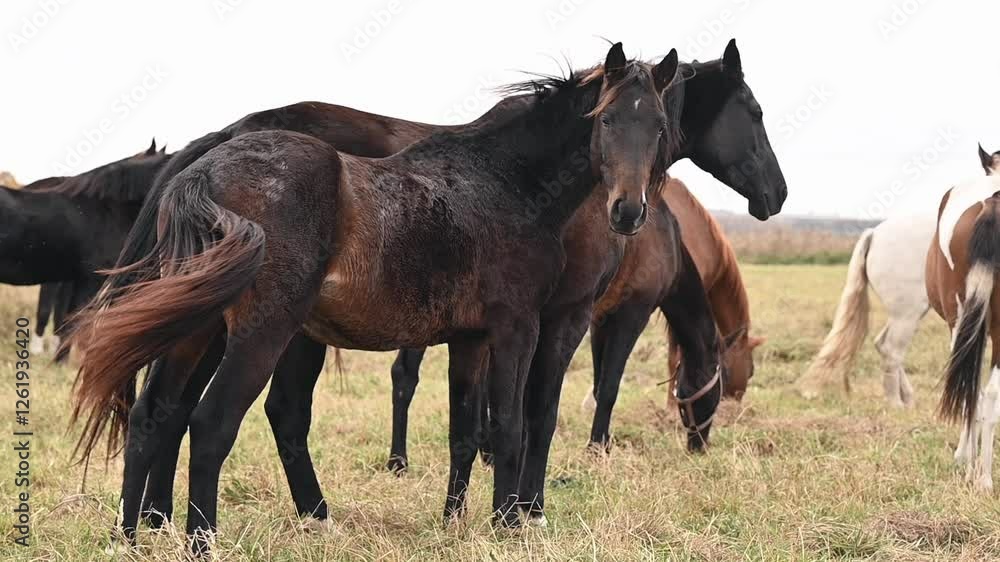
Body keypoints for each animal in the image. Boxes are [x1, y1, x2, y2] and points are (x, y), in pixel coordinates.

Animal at [69, 45, 688, 552]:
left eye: (659, 125)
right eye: (606, 119)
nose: (628, 211)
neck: (504, 181)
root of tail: (202, 169)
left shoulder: (469, 340)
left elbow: (466, 432)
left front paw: (455, 523)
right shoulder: (520, 327)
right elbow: (511, 426)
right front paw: (509, 523)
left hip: (200, 329)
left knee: (153, 416)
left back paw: (129, 537)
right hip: (261, 333)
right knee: (212, 422)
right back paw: (204, 540)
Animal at [388, 40, 784, 464]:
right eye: (757, 113)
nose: (779, 192)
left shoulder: (592, 314)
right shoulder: (626, 310)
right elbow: (604, 387)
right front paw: (595, 449)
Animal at [797, 144, 1000, 406]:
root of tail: (874, 234)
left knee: (883, 344)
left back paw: (907, 400)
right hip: (908, 313)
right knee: (892, 349)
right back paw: (896, 403)